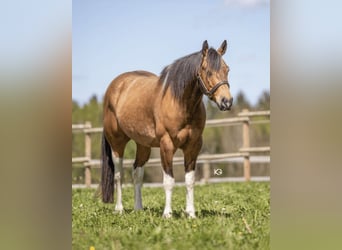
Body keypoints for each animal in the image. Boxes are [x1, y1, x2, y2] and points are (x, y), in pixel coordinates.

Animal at [99, 40, 232, 218]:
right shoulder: (166, 145)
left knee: (137, 173)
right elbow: (169, 181)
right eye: (208, 71)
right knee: (119, 174)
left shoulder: (193, 146)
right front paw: (167, 214)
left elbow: (190, 180)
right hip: (117, 143)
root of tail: (115, 86)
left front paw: (191, 214)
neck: (179, 103)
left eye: (227, 69)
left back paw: (138, 208)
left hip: (143, 145)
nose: (227, 101)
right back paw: (119, 209)